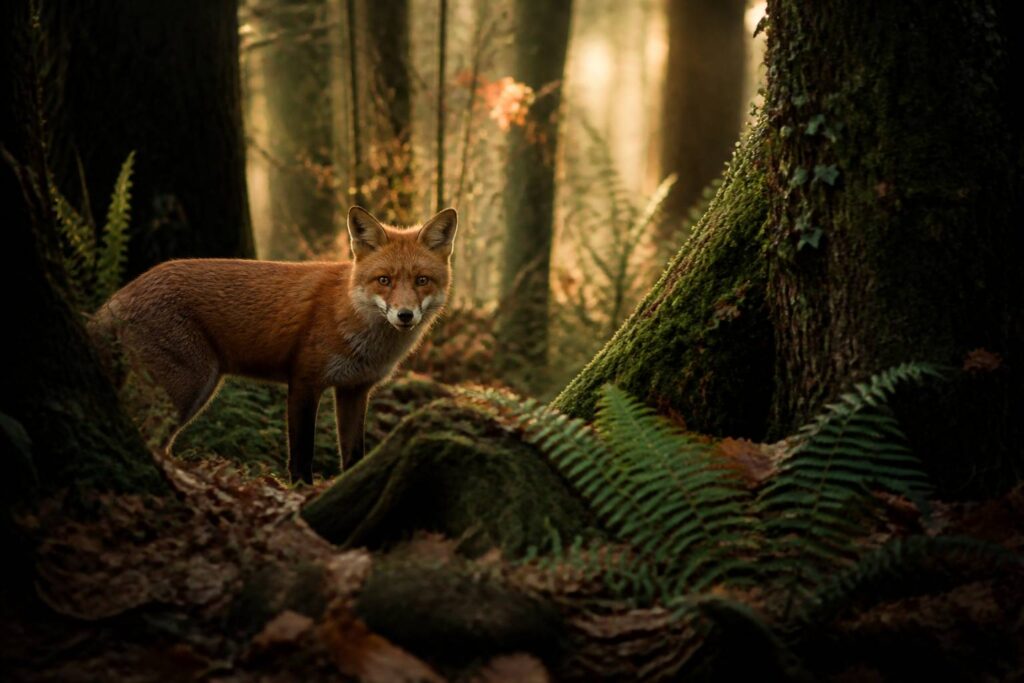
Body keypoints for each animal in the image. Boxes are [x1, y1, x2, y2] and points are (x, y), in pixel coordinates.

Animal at [89, 206, 458, 484]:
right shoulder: (304, 382)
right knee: (147, 434)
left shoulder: (354, 390)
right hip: (187, 387)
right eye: (384, 280)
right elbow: (302, 455)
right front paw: (302, 493)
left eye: (421, 281)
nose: (405, 315)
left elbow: (354, 455)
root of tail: (121, 294)